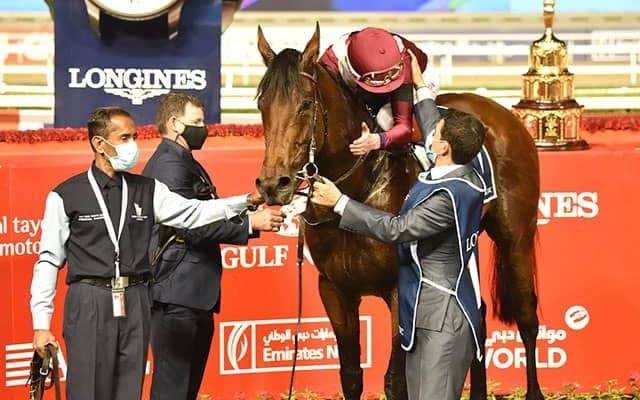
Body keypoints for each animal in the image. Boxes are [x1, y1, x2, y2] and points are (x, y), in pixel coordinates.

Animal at [254, 24, 543, 400]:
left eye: (305, 104)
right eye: (261, 103)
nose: (274, 184)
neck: (360, 189)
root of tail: (503, 113)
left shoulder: (401, 291)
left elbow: (396, 380)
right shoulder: (334, 289)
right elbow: (350, 376)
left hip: (516, 235)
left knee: (526, 316)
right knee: (475, 313)